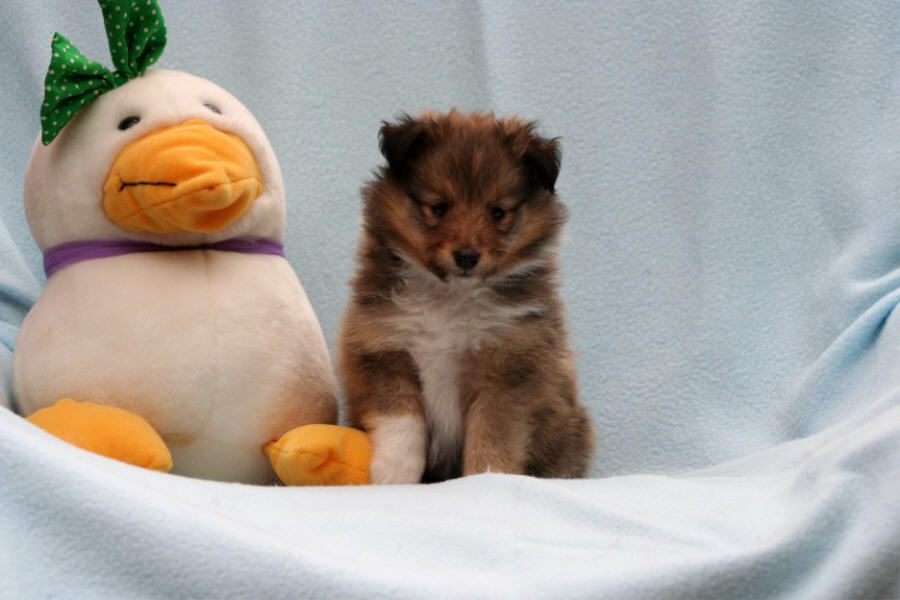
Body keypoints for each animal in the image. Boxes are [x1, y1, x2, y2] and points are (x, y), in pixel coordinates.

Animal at [338, 110, 594, 484]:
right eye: (439, 208)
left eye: (498, 212)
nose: (467, 257)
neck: (450, 297)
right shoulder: (382, 349)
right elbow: (401, 425)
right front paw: (393, 476)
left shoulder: (508, 370)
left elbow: (492, 435)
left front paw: (487, 478)